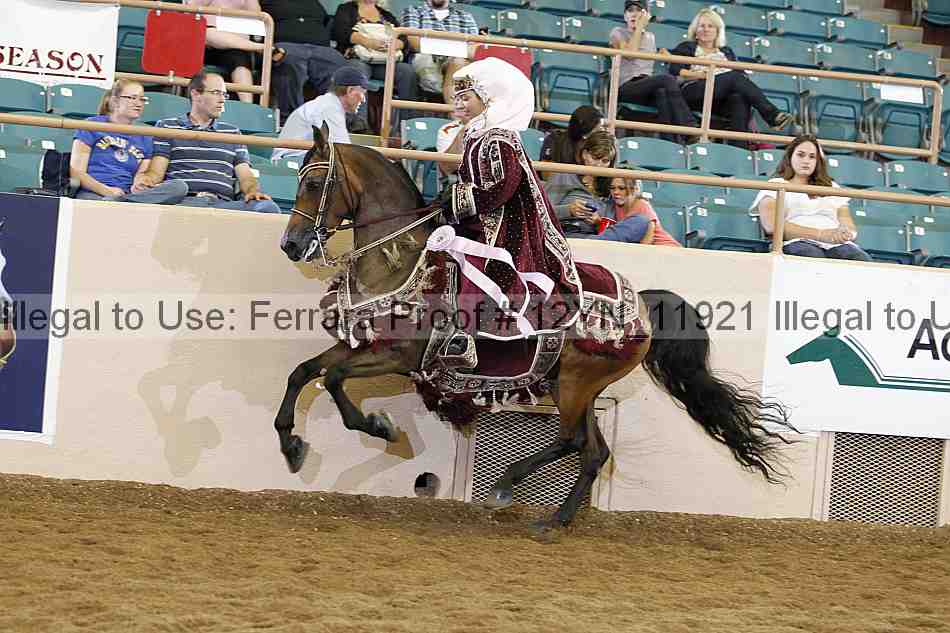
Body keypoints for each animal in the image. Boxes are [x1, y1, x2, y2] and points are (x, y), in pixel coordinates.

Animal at [275, 126, 796, 533]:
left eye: (315, 181)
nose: (291, 244)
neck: (406, 261)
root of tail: (644, 306)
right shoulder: (359, 345)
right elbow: (304, 372)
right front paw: (292, 445)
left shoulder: (397, 354)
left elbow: (334, 380)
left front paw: (378, 426)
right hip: (573, 384)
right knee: (593, 451)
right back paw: (555, 519)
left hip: (577, 382)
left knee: (570, 441)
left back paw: (507, 486)